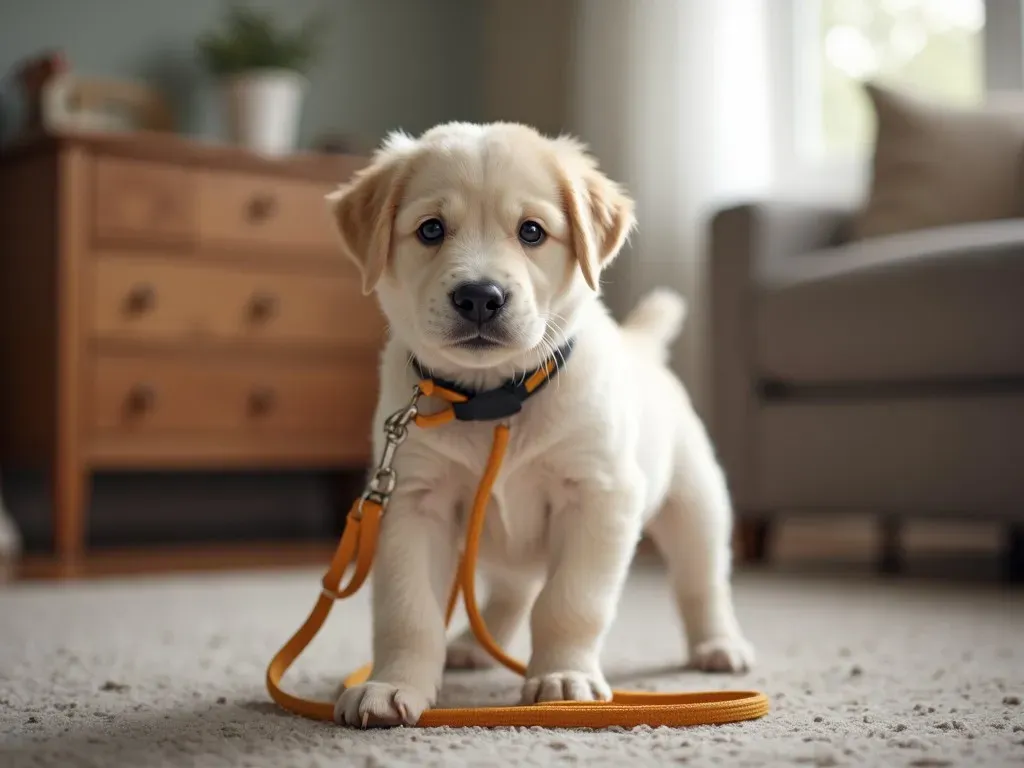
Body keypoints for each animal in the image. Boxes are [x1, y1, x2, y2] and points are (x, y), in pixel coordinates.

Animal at [327, 121, 753, 729]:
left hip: (696, 504)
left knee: (703, 581)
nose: (479, 296)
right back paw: (473, 647)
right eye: (431, 229)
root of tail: (643, 345)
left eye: (532, 231)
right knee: (511, 594)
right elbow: (408, 609)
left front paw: (562, 678)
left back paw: (720, 646)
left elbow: (570, 601)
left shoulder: (600, 495)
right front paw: (392, 685)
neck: (495, 400)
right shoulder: (412, 501)